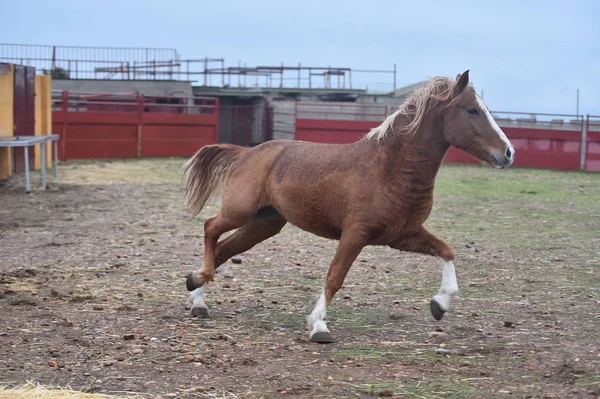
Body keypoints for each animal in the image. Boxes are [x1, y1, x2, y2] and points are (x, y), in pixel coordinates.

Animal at [184, 71, 516, 344]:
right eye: (472, 110)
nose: (508, 152)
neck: (390, 169)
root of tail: (245, 153)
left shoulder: (402, 236)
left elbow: (446, 251)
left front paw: (440, 304)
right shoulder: (355, 234)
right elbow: (335, 277)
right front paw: (319, 326)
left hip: (263, 224)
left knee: (224, 248)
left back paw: (198, 299)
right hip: (240, 212)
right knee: (210, 228)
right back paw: (198, 283)